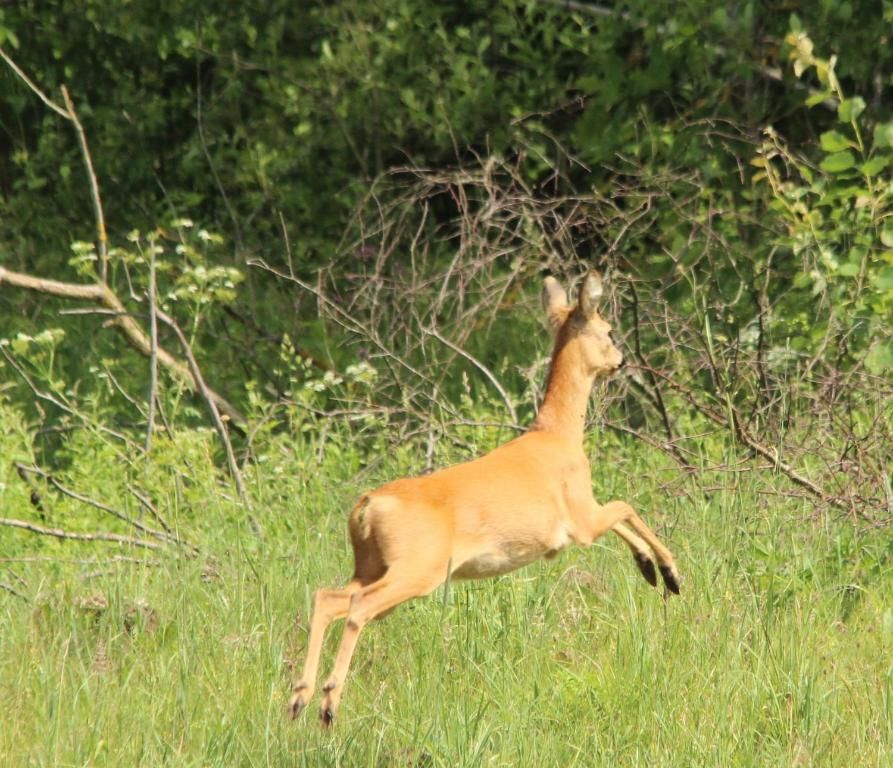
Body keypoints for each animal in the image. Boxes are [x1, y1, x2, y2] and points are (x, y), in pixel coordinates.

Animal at [286, 272, 676, 728]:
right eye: (609, 330)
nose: (622, 360)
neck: (559, 435)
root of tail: (367, 505)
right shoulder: (579, 516)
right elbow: (625, 507)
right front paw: (669, 573)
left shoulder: (582, 520)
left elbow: (623, 515)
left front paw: (648, 568)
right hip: (419, 567)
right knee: (358, 606)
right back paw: (329, 701)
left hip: (370, 564)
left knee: (328, 599)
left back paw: (299, 699)